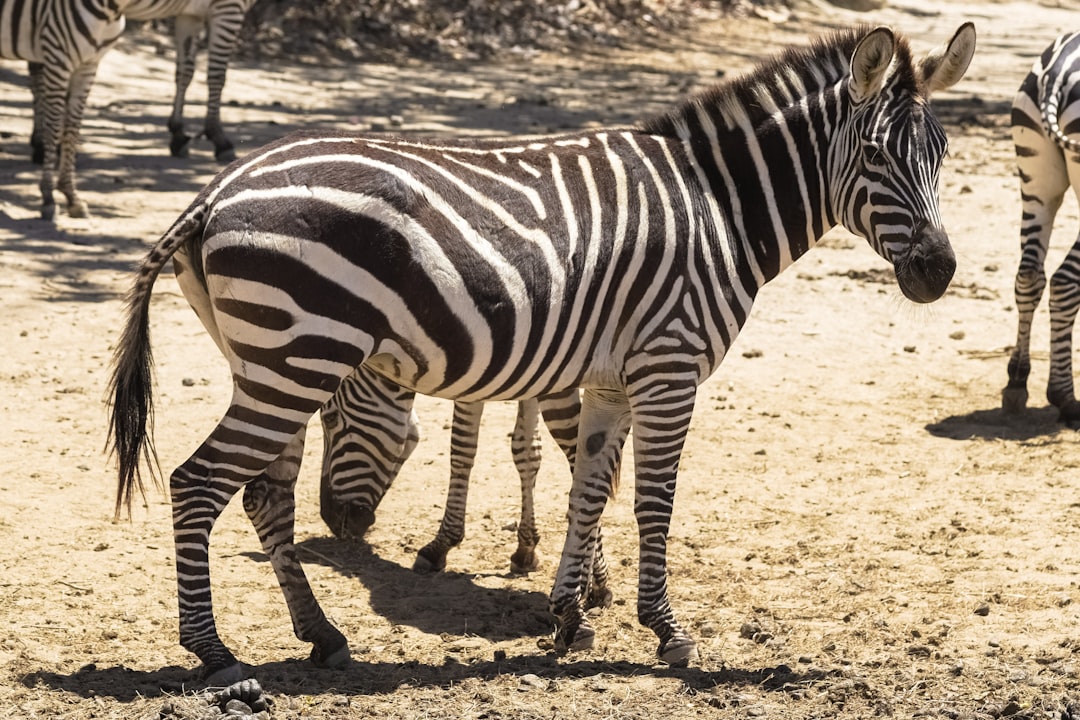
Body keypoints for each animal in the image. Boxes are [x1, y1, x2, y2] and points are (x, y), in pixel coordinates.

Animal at [109, 23, 980, 686]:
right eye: (875, 157)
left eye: (941, 156)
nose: (939, 273)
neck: (719, 207)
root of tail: (214, 193)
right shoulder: (669, 369)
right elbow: (651, 500)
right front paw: (666, 630)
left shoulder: (611, 382)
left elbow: (589, 489)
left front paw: (567, 616)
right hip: (296, 360)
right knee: (197, 483)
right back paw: (215, 655)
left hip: (270, 363)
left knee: (263, 495)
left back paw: (321, 635)